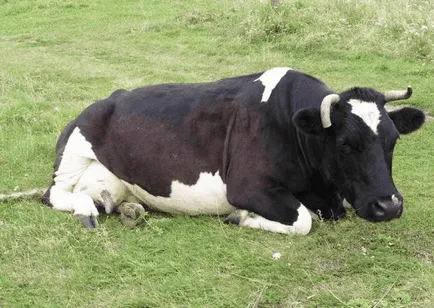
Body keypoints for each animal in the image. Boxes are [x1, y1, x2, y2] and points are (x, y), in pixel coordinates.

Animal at [42, 67, 426, 235]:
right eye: (345, 145)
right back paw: (86, 211)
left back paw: (129, 209)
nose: (389, 206)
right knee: (55, 194)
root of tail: (111, 97)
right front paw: (240, 217)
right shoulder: (246, 186)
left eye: (393, 140)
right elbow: (302, 221)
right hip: (74, 153)